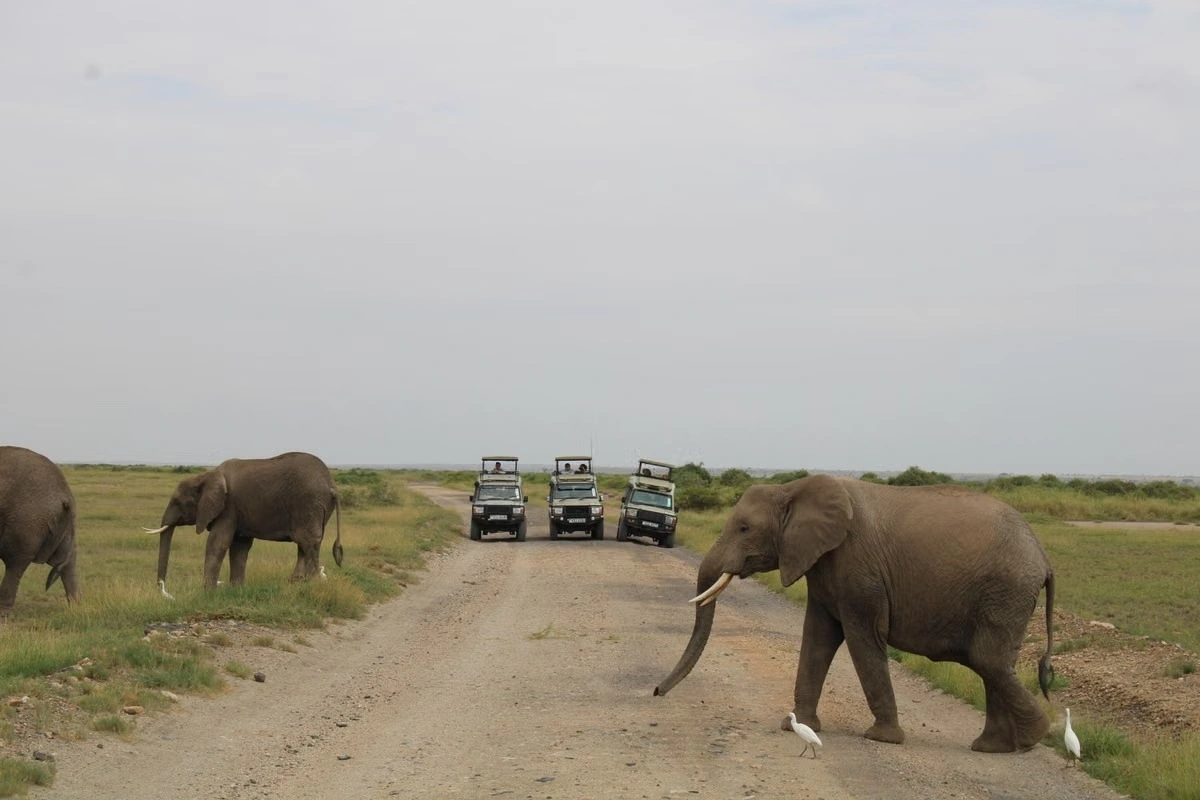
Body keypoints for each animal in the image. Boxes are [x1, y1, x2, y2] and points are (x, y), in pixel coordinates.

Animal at [0, 446, 82, 611]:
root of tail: (66, 495)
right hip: (63, 526)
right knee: (69, 563)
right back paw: (76, 608)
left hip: (27, 520)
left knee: (15, 561)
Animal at [143, 451, 343, 595]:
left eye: (178, 502)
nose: (163, 590)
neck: (206, 476)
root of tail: (332, 485)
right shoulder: (238, 510)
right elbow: (240, 546)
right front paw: (236, 590)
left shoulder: (228, 507)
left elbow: (218, 543)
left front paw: (207, 592)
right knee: (305, 544)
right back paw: (296, 584)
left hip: (308, 503)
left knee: (308, 542)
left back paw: (312, 585)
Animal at [654, 475, 1056, 754]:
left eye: (744, 528)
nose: (657, 692)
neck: (793, 488)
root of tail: (1043, 556)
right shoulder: (821, 563)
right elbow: (817, 637)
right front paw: (795, 725)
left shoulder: (859, 571)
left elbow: (862, 639)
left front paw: (883, 739)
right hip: (1007, 596)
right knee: (995, 662)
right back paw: (994, 748)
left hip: (1006, 591)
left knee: (986, 658)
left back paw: (1031, 738)